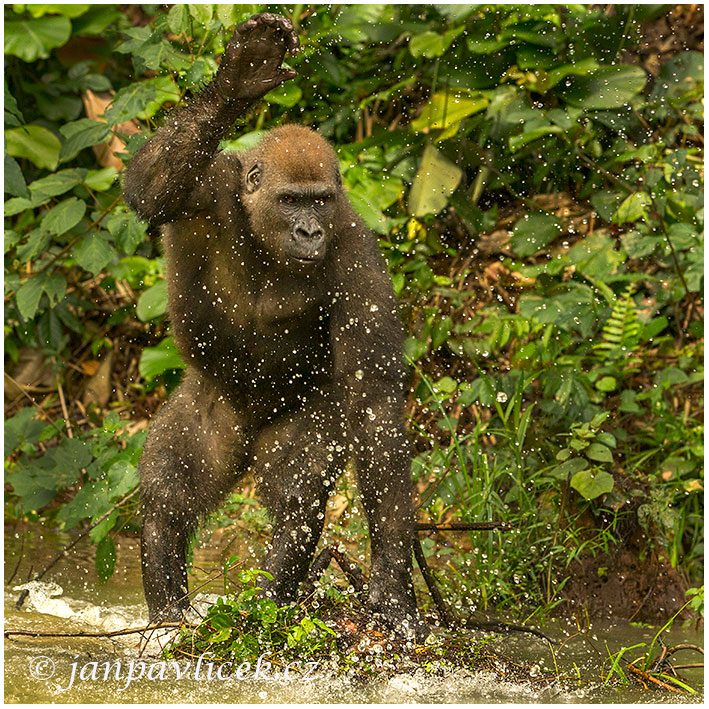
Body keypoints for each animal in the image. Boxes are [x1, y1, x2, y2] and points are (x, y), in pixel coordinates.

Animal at [124, 11, 418, 632]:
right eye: (290, 200)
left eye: (320, 201)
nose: (309, 231)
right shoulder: (210, 189)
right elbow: (149, 191)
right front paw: (236, 82)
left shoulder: (356, 252)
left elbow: (375, 402)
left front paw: (391, 583)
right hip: (211, 401)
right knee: (167, 498)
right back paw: (170, 616)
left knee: (296, 503)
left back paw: (266, 603)